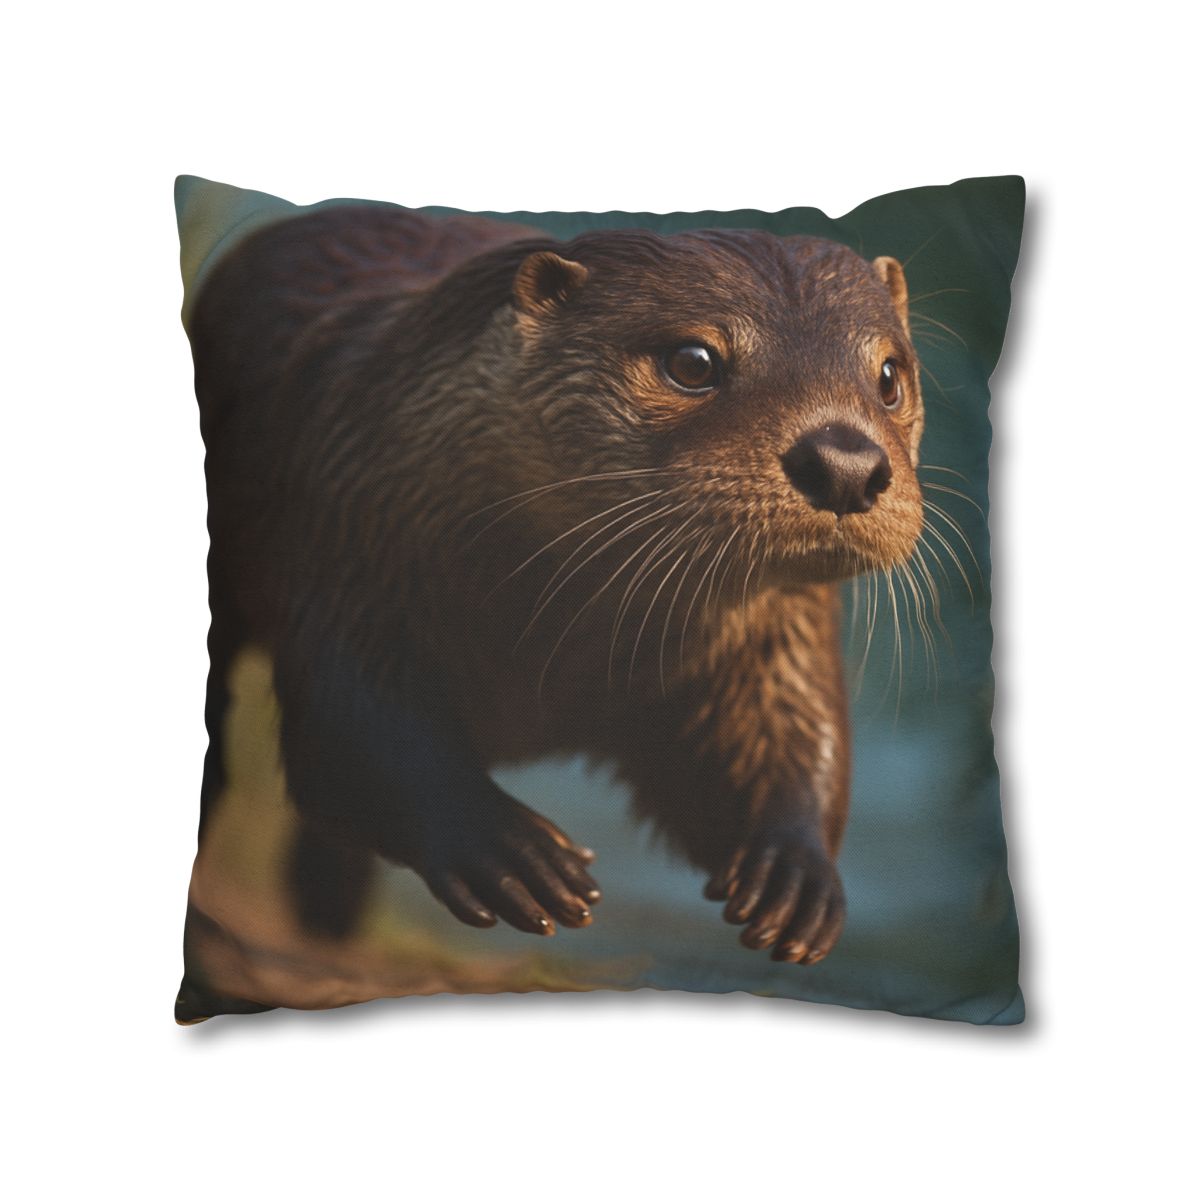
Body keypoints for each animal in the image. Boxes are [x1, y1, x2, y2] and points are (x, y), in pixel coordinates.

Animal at [186, 204, 924, 971]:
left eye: (889, 376)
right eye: (694, 362)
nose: (845, 463)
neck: (554, 642)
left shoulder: (777, 637)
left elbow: (782, 737)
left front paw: (795, 876)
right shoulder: (352, 537)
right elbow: (354, 732)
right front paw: (507, 850)